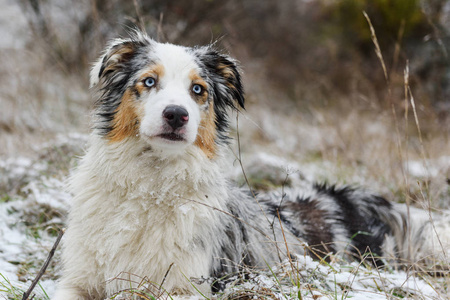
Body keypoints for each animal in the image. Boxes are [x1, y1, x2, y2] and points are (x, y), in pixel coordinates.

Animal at [51, 31, 446, 298]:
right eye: (148, 81)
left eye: (198, 90)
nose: (176, 115)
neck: (152, 180)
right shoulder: (79, 279)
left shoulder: (185, 284)